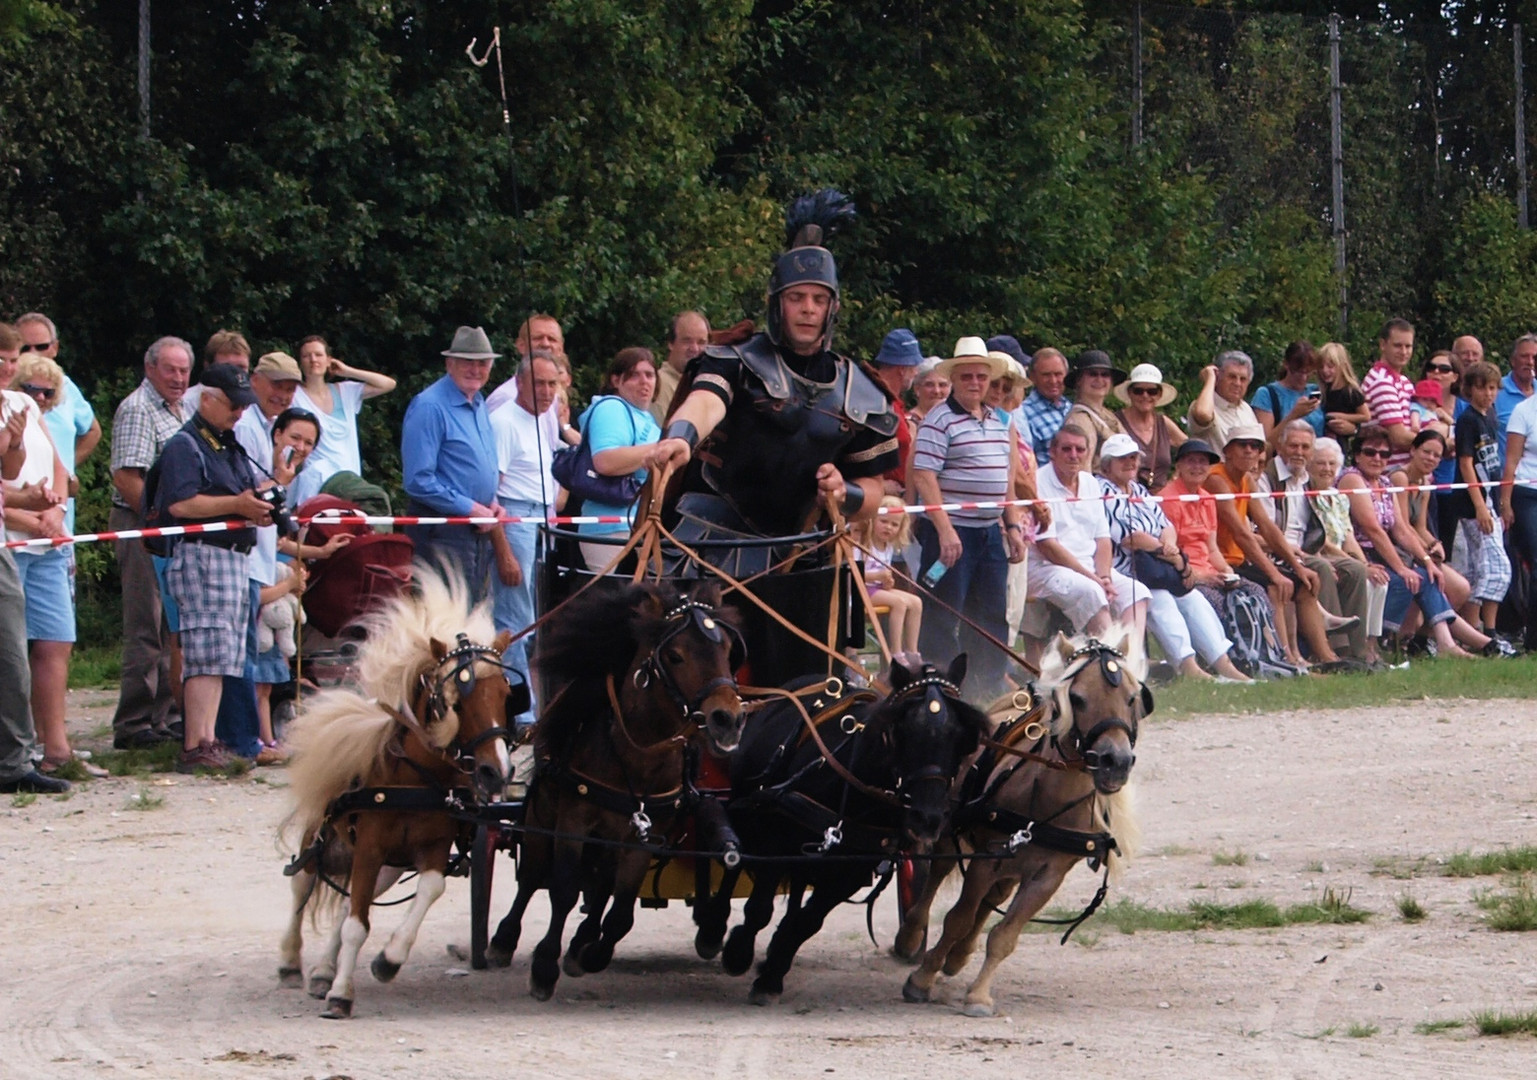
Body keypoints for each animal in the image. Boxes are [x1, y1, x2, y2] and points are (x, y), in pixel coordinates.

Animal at [285, 571, 525, 1020]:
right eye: (456, 702)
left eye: (507, 695)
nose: (496, 771)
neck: (417, 780)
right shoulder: (369, 846)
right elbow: (356, 924)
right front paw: (342, 994)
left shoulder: (431, 846)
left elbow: (429, 889)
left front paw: (387, 960)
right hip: (325, 839)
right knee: (303, 883)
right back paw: (291, 961)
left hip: (390, 867)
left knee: (348, 903)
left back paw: (323, 970)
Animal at [482, 577, 740, 1001]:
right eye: (675, 655)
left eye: (728, 649)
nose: (728, 719)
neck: (637, 753)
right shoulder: (573, 822)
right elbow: (564, 889)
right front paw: (544, 966)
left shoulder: (643, 837)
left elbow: (621, 911)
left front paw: (589, 954)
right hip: (542, 817)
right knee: (533, 876)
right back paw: (504, 940)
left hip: (611, 839)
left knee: (602, 885)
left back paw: (581, 943)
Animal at [700, 654, 995, 1007]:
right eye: (903, 731)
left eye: (961, 736)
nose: (929, 818)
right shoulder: (776, 842)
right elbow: (759, 907)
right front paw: (738, 952)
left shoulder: (851, 869)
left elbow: (808, 922)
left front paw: (771, 974)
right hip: (747, 809)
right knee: (734, 860)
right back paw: (712, 928)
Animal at [897, 629, 1149, 1020]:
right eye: (1078, 698)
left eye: (1132, 697)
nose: (1115, 762)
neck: (1050, 797)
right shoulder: (988, 858)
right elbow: (957, 918)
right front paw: (922, 979)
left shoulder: (1048, 876)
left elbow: (1004, 936)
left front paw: (979, 995)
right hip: (949, 830)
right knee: (937, 876)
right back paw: (912, 935)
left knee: (992, 900)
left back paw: (958, 956)